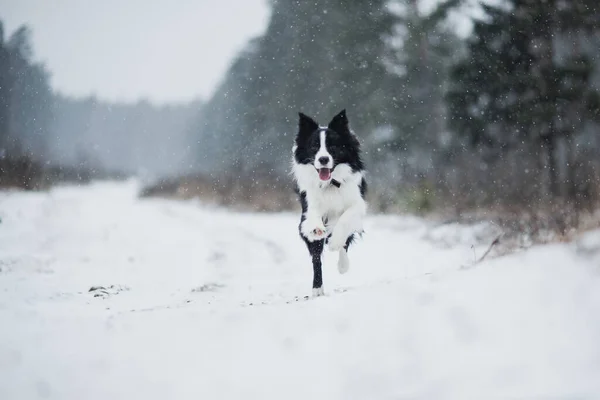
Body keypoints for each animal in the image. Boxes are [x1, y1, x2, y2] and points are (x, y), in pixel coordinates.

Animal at [290, 109, 366, 296]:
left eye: (333, 147)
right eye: (314, 147)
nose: (323, 159)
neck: (331, 183)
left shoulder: (357, 203)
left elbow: (345, 220)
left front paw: (335, 242)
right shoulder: (309, 206)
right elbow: (313, 218)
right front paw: (316, 228)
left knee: (345, 243)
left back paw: (343, 265)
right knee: (316, 258)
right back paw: (317, 288)